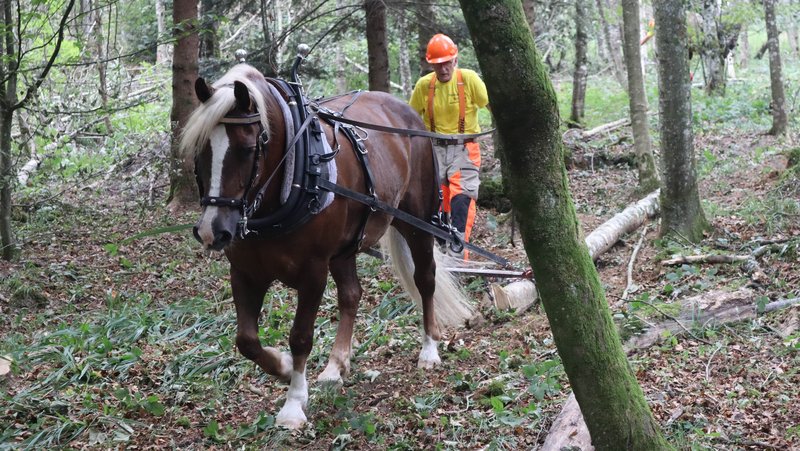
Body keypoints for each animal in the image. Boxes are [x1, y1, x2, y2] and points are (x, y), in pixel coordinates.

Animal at [180, 64, 473, 429]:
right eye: (201, 149)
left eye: (247, 149)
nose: (212, 231)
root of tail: (405, 111)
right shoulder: (245, 272)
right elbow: (246, 340)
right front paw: (284, 366)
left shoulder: (313, 271)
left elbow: (301, 336)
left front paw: (293, 403)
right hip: (345, 248)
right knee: (351, 294)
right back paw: (336, 365)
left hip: (417, 221)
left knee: (425, 280)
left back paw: (429, 348)